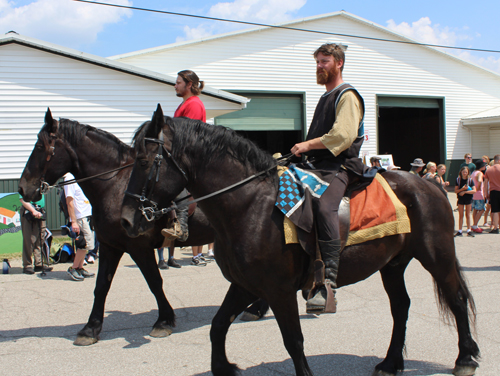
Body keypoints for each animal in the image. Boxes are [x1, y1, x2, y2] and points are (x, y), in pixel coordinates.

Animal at [18, 108, 217, 346]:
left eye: (40, 146)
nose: (22, 188)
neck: (115, 185)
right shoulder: (109, 245)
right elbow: (101, 286)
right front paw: (90, 328)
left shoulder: (139, 247)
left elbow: (154, 282)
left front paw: (164, 321)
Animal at [121, 106, 480, 376]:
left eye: (143, 161)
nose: (125, 219)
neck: (250, 206)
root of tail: (430, 184)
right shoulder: (246, 285)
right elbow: (218, 324)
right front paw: (224, 367)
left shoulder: (278, 289)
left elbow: (293, 340)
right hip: (393, 264)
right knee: (401, 307)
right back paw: (391, 363)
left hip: (436, 256)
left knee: (456, 299)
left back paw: (465, 358)